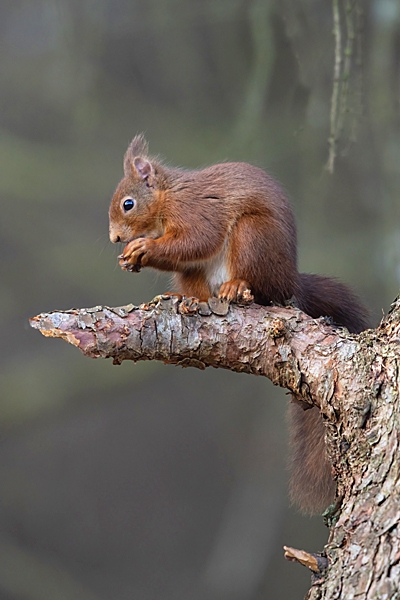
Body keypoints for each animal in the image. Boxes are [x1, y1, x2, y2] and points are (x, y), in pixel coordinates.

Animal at [108, 136, 368, 516]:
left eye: (128, 204)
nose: (115, 238)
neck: (168, 197)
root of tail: (290, 283)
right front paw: (131, 257)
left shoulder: (197, 212)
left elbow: (196, 239)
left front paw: (145, 247)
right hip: (197, 274)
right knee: (197, 286)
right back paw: (188, 298)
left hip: (253, 237)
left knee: (256, 285)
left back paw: (236, 287)